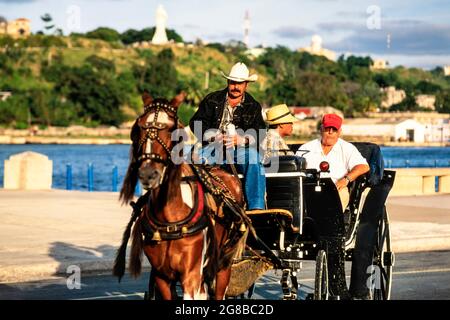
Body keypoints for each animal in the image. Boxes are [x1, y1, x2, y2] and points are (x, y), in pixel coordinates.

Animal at [112, 90, 246, 300]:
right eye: (139, 127)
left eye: (172, 129)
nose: (148, 174)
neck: (169, 219)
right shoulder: (161, 276)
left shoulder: (191, 276)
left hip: (224, 264)